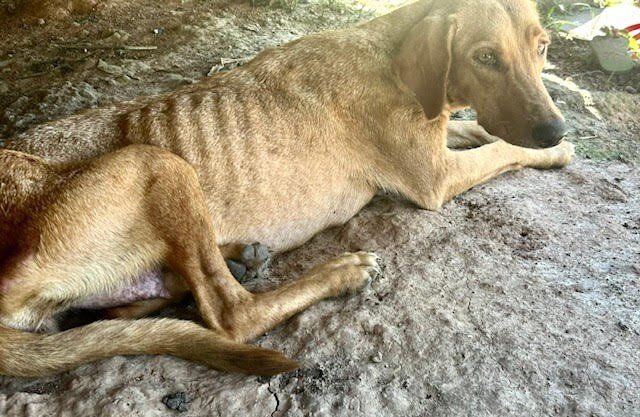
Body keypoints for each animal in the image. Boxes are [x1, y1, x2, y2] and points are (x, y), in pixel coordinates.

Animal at [0, 0, 576, 376]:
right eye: (486, 57)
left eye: (543, 48)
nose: (555, 127)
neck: (391, 55)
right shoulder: (434, 177)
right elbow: (503, 150)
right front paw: (556, 152)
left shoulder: (439, 141)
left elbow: (481, 133)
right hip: (157, 161)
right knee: (232, 315)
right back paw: (337, 273)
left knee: (132, 308)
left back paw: (236, 259)